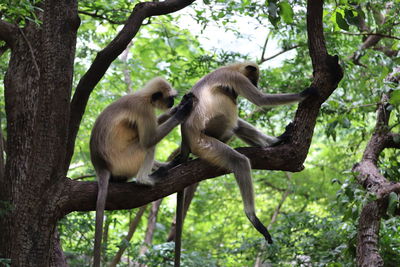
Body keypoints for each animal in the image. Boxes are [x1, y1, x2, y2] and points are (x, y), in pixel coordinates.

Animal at [89, 76, 195, 266]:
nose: (173, 102)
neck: (143, 97)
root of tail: (101, 165)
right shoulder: (143, 109)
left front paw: (179, 108)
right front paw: (181, 113)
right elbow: (149, 140)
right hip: (125, 161)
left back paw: (169, 165)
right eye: (170, 97)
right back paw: (146, 179)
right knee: (147, 146)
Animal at [155, 61, 318, 251]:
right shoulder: (235, 78)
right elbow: (261, 100)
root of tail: (186, 139)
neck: (229, 68)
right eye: (254, 80)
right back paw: (252, 217)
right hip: (205, 141)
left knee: (237, 123)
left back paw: (274, 142)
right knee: (238, 156)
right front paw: (306, 92)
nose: (256, 85)